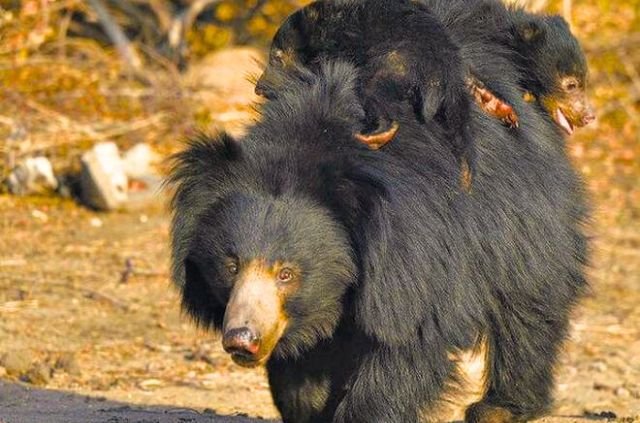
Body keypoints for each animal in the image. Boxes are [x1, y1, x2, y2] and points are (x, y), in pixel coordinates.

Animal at [167, 61, 589, 423]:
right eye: (231, 265)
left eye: (286, 273)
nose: (242, 339)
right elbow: (303, 375)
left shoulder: (413, 255)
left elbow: (408, 343)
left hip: (523, 225)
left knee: (528, 310)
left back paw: (499, 408)